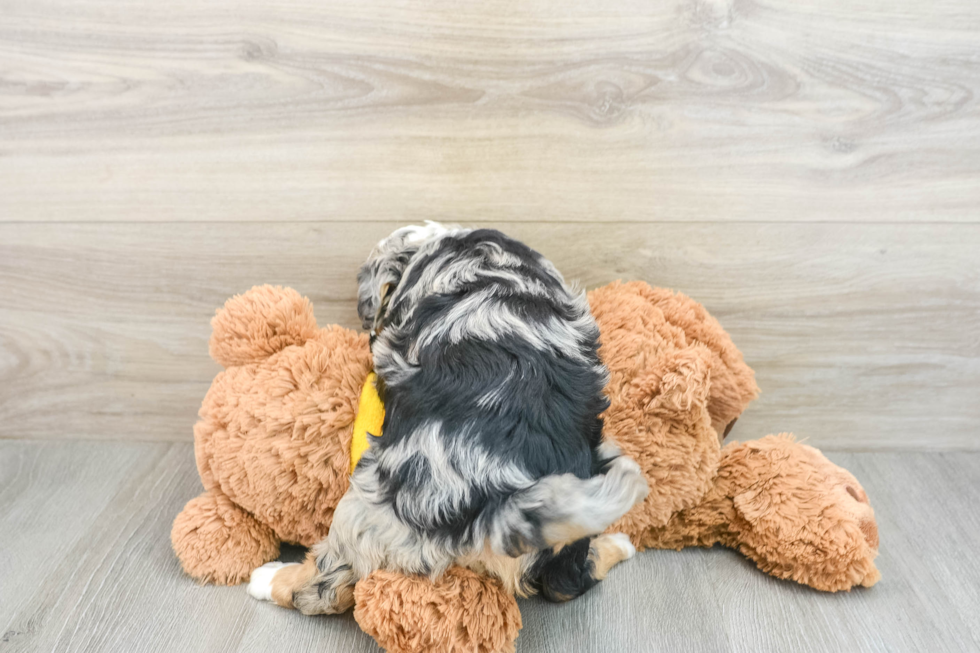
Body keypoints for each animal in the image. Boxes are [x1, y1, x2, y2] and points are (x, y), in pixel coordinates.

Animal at [249, 223, 648, 612]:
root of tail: (500, 500)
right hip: (574, 529)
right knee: (569, 583)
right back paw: (620, 542)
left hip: (370, 504)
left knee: (326, 587)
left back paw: (269, 579)